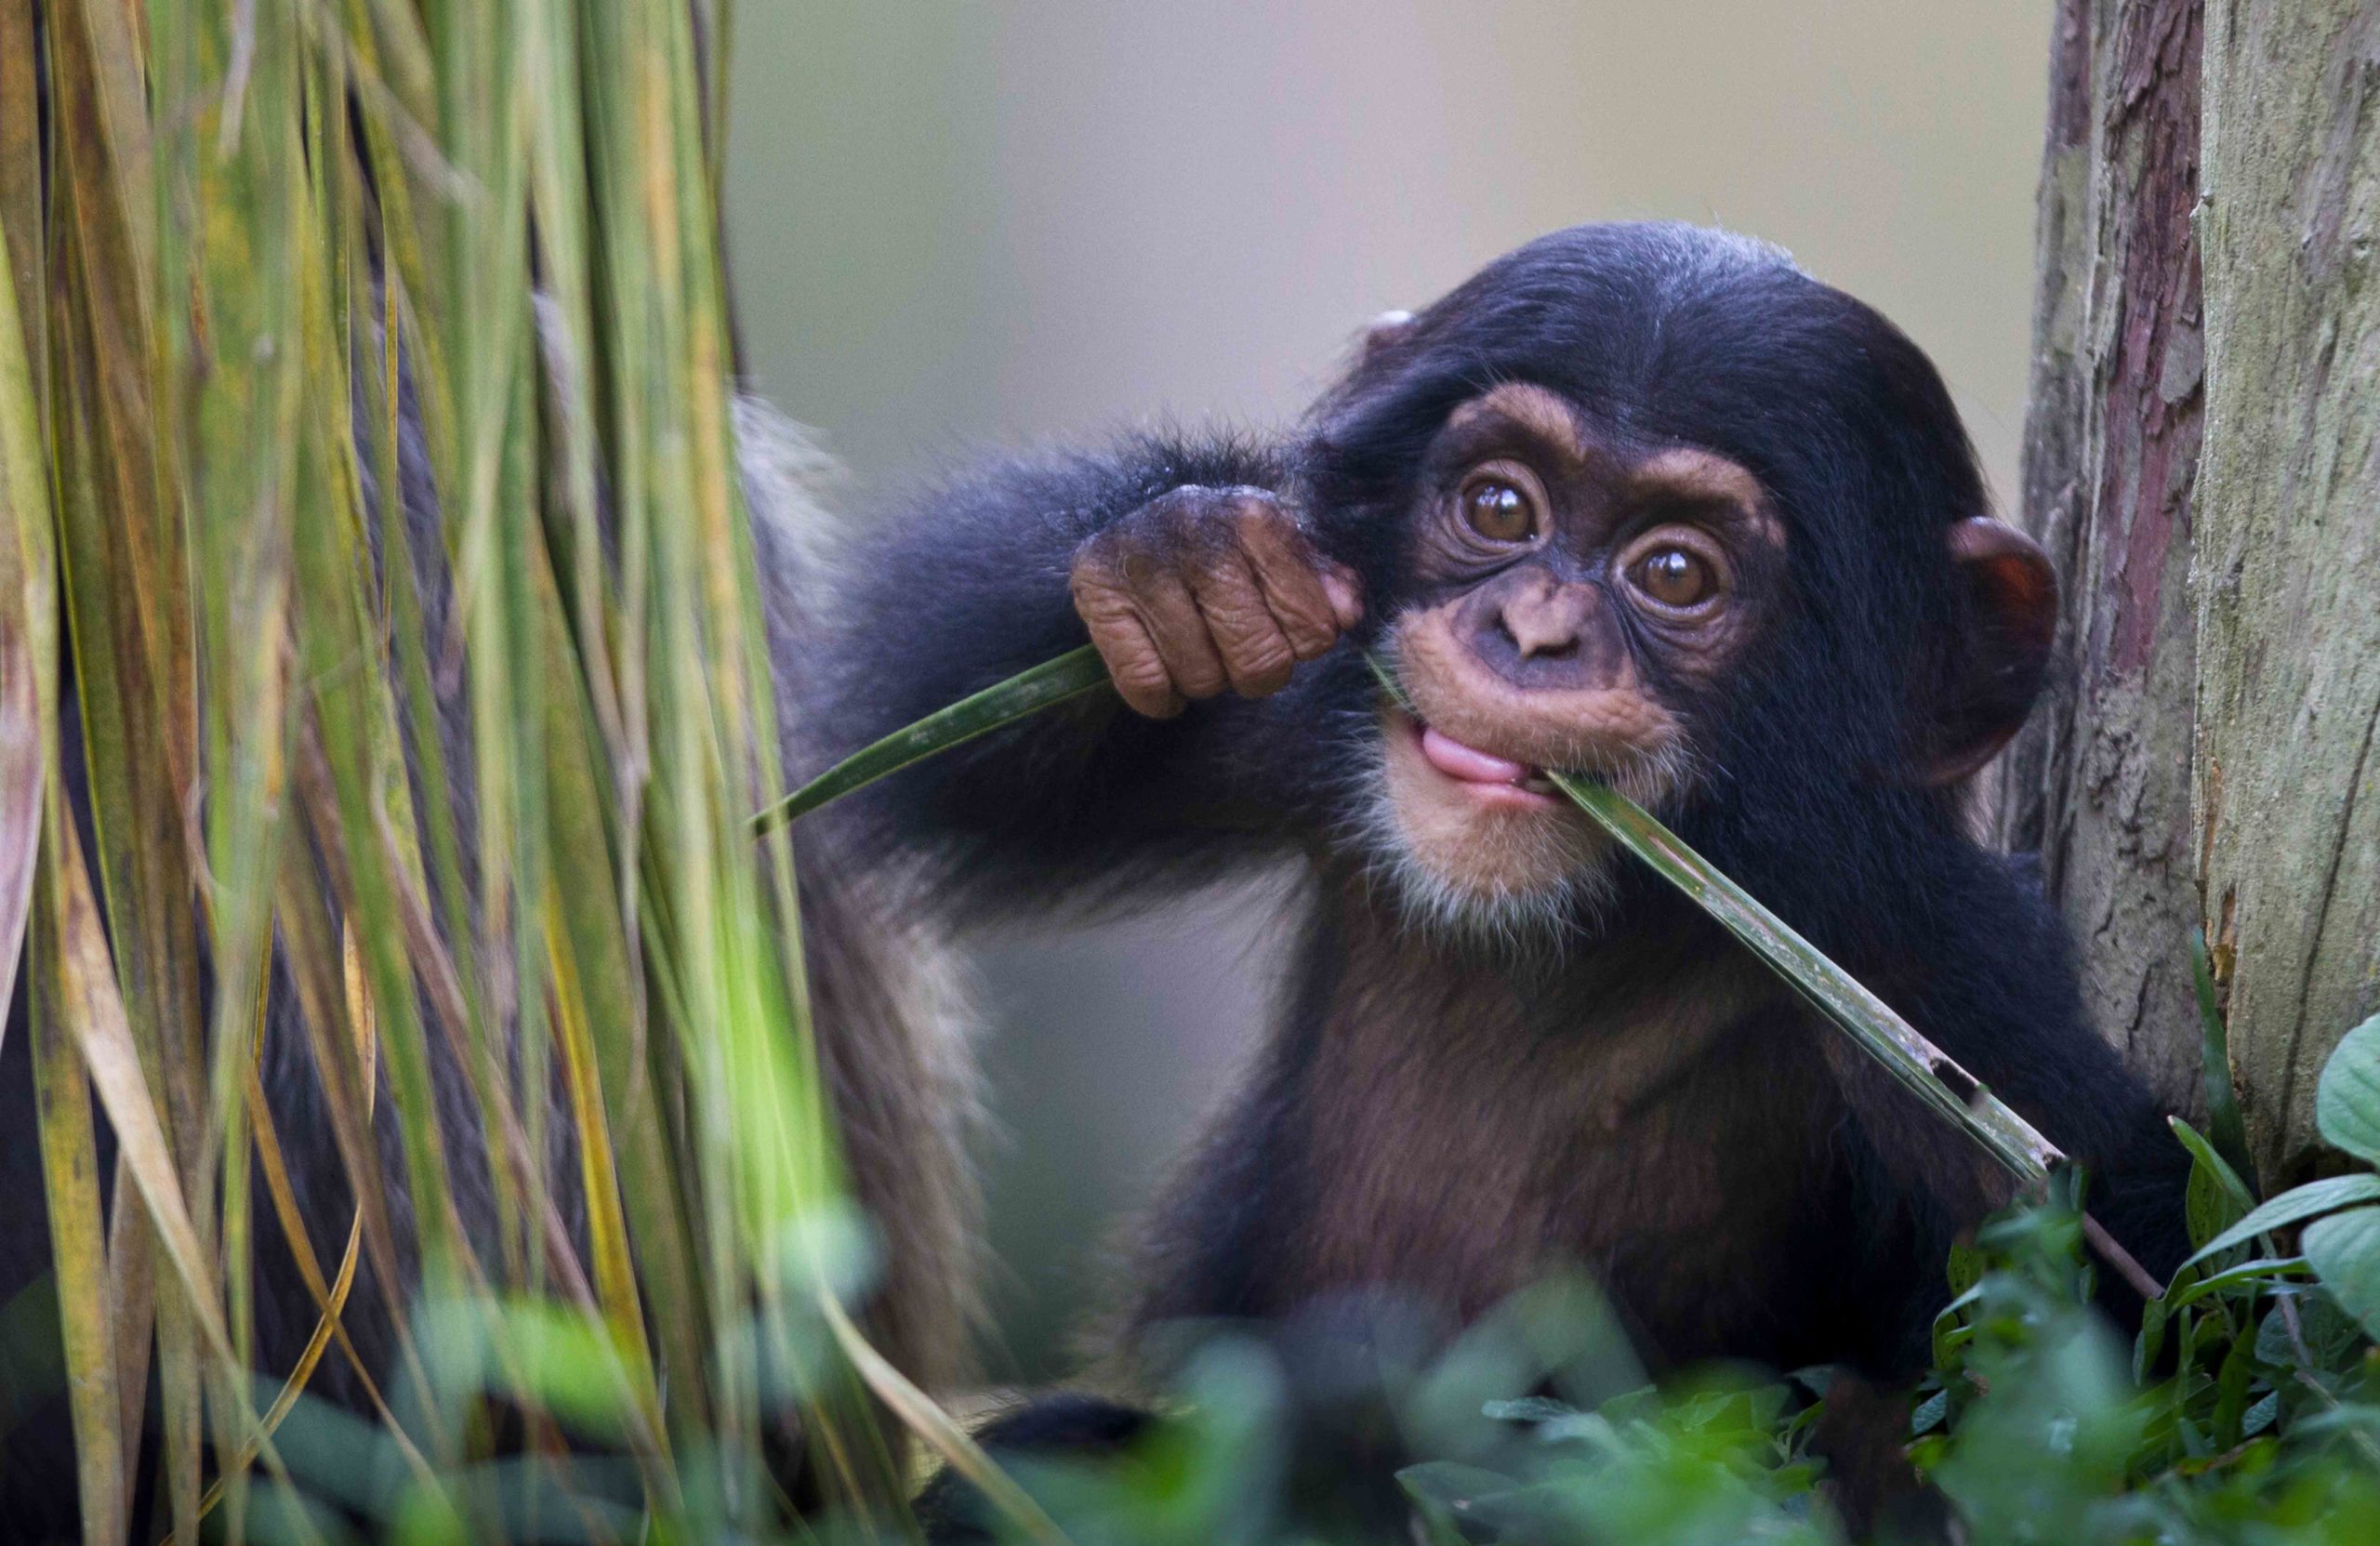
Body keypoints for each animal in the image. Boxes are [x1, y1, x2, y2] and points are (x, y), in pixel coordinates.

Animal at [821, 222, 2191, 1536]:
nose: (1533, 630)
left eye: (1675, 572)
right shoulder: (1314, 706)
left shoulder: (1932, 978)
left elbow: (2125, 1296)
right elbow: (941, 733)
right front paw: (1181, 563)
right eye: (1498, 506)